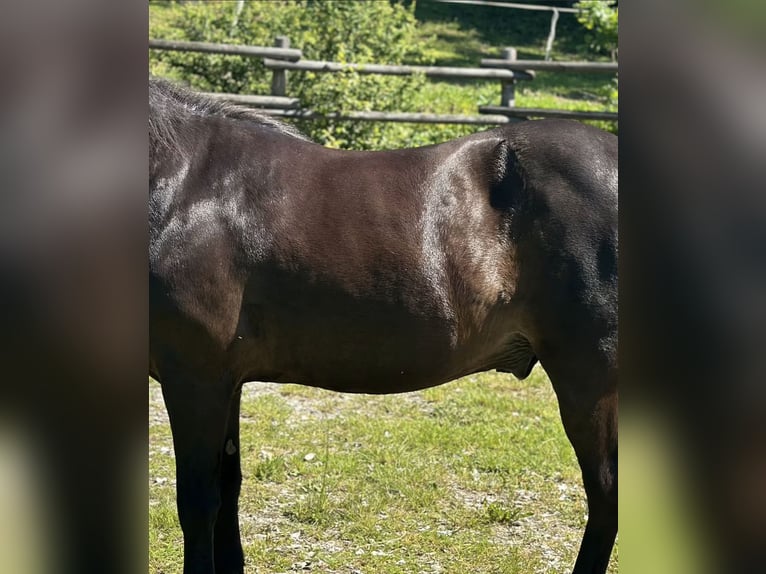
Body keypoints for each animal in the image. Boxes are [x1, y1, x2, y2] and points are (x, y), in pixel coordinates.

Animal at [149, 77, 617, 574]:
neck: (184, 187)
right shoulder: (226, 381)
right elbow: (229, 486)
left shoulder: (195, 379)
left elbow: (198, 502)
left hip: (589, 378)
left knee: (606, 493)